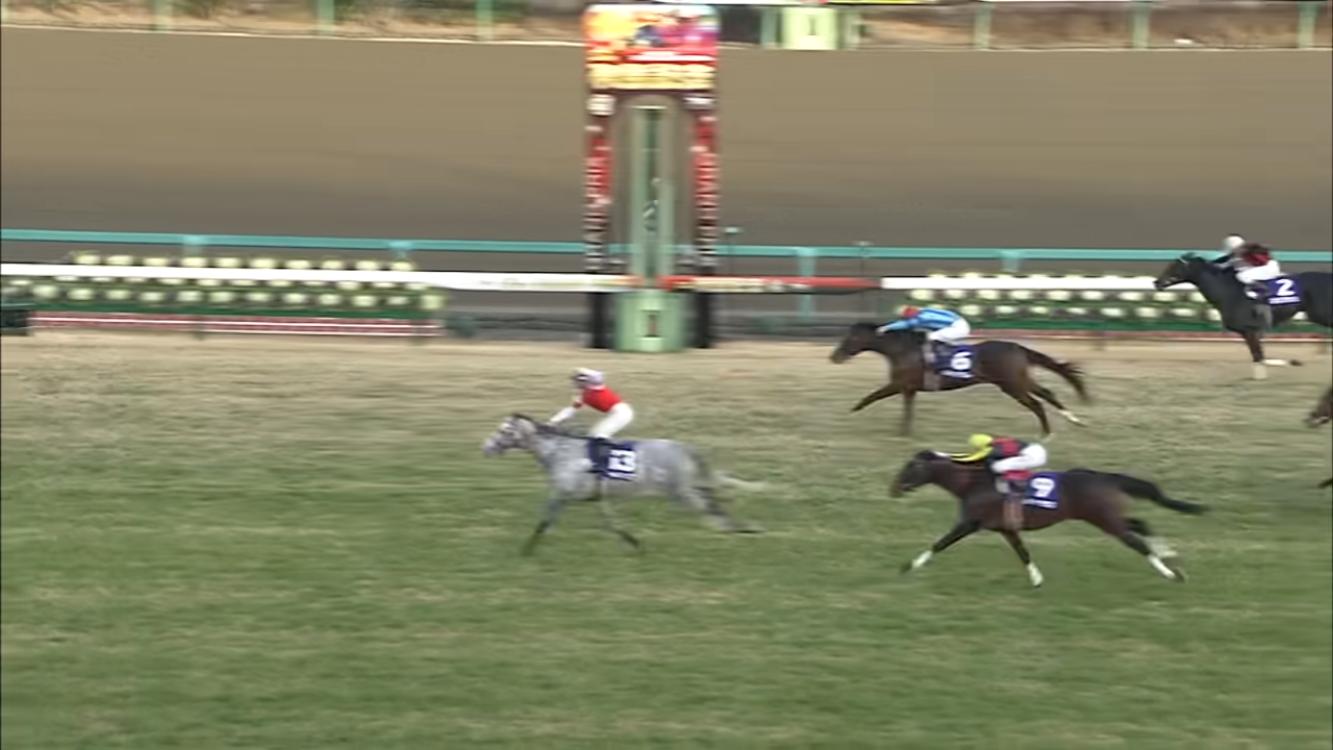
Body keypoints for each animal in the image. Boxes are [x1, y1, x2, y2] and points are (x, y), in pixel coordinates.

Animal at [481, 414, 764, 555]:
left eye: (504, 431)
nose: (486, 448)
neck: (560, 452)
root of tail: (684, 448)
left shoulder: (562, 493)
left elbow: (544, 521)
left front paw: (526, 549)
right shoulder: (597, 498)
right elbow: (611, 523)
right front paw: (634, 543)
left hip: (681, 491)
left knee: (710, 508)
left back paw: (733, 532)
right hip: (686, 489)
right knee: (714, 505)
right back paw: (740, 529)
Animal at [829, 323, 1090, 437]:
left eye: (851, 338)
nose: (834, 357)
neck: (902, 350)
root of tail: (1018, 347)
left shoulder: (900, 384)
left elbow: (873, 395)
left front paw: (853, 410)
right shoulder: (909, 388)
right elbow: (907, 411)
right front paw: (904, 432)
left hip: (1011, 384)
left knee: (1037, 402)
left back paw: (1047, 432)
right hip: (1018, 380)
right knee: (1047, 393)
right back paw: (1072, 421)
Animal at [890, 451, 1207, 587]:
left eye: (911, 468)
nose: (893, 489)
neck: (972, 483)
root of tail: (1105, 477)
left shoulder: (970, 523)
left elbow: (940, 543)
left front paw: (908, 566)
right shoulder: (1005, 527)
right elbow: (1022, 552)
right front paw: (1036, 579)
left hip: (1104, 519)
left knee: (1136, 542)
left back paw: (1171, 573)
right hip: (1105, 516)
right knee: (1140, 525)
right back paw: (1168, 554)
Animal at [1153, 253, 1333, 380]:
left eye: (1174, 267)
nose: (1157, 282)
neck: (1228, 292)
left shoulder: (1251, 329)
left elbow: (1259, 355)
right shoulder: (1247, 332)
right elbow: (1257, 355)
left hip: (1321, 313)